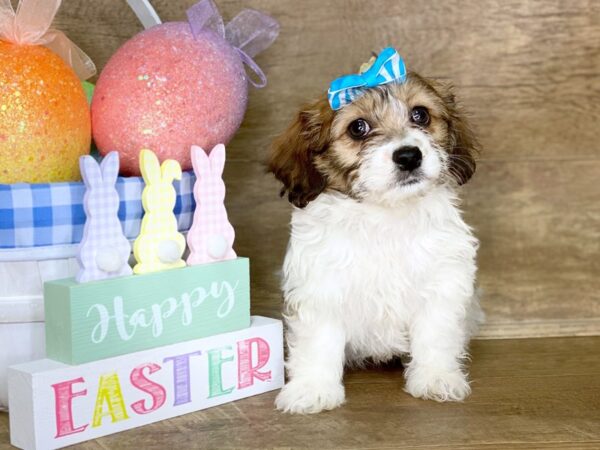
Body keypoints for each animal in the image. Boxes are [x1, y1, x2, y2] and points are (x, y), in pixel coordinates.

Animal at [270, 65, 486, 414]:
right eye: (358, 128)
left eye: (420, 114)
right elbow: (318, 341)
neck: (385, 214)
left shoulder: (442, 280)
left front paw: (436, 376)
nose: (409, 155)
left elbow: (435, 333)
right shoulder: (320, 286)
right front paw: (312, 388)